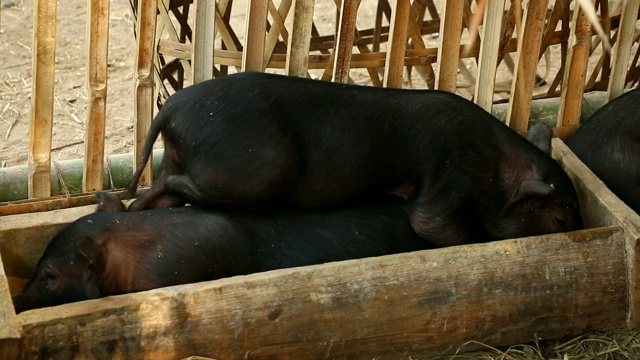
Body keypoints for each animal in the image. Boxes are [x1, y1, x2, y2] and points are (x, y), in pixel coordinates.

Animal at [124, 71, 580, 245]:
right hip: (260, 169)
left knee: (153, 193)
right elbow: (431, 222)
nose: (576, 230)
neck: (498, 166)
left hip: (180, 157)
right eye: (559, 219)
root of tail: (172, 108)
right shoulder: (451, 170)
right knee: (175, 186)